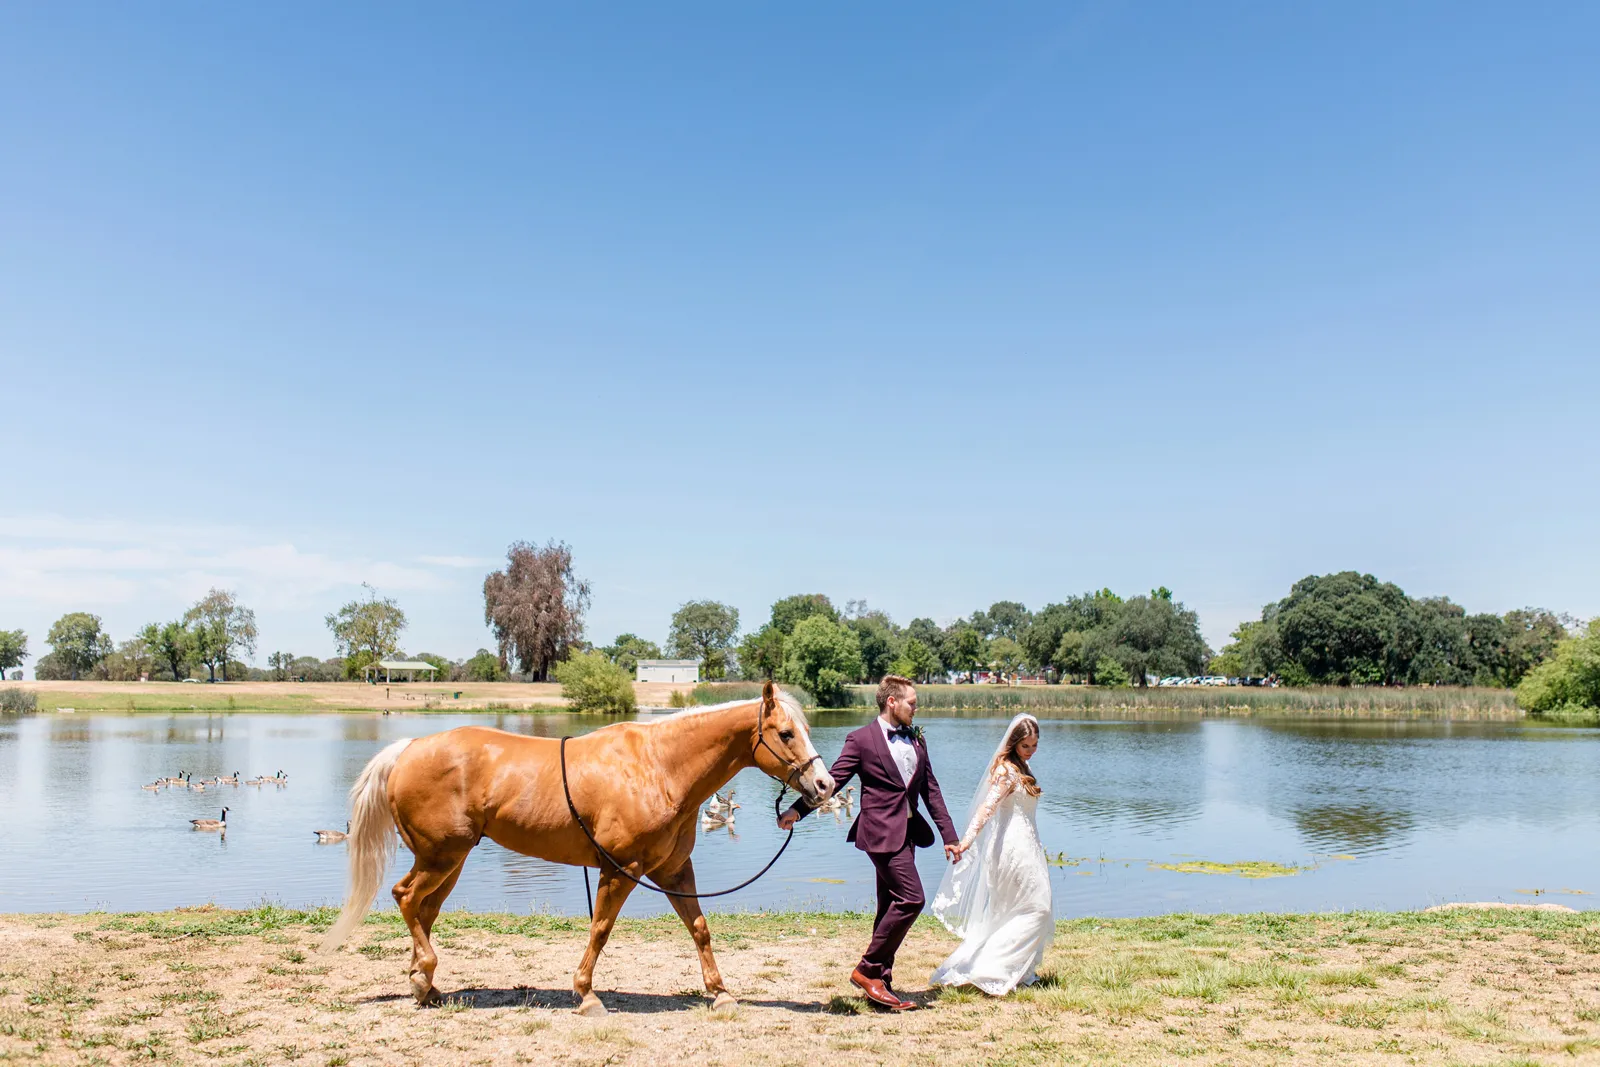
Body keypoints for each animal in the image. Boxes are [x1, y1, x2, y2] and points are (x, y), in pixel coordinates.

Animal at [316, 684, 832, 1017]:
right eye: (786, 733)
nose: (825, 785)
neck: (659, 767)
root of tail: (408, 748)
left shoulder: (673, 870)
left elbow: (700, 929)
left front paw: (720, 992)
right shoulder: (621, 869)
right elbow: (601, 929)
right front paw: (585, 995)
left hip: (449, 862)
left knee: (423, 910)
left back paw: (425, 986)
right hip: (440, 856)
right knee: (406, 899)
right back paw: (423, 974)